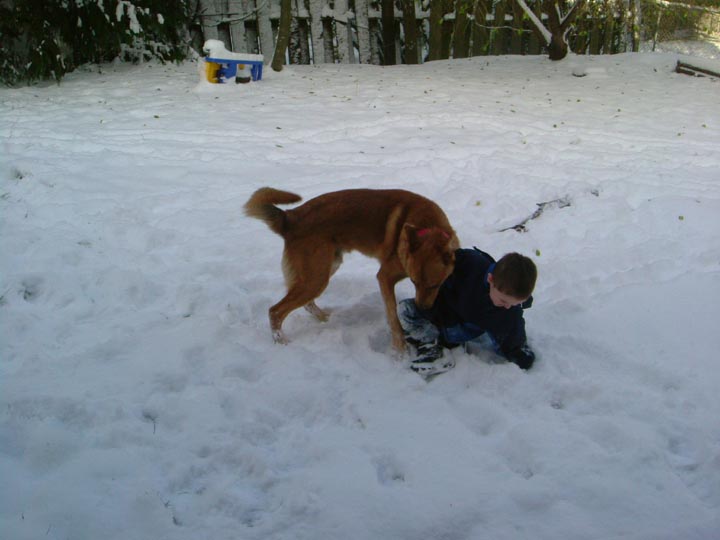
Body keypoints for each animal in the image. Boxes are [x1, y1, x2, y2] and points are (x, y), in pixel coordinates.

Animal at [244, 187, 459, 352]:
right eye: (414, 282)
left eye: (435, 285)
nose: (422, 309)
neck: (428, 226)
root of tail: (290, 217)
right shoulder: (385, 277)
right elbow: (393, 318)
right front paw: (400, 350)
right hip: (316, 278)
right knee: (275, 311)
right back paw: (282, 342)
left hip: (325, 269)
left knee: (306, 304)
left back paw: (325, 318)